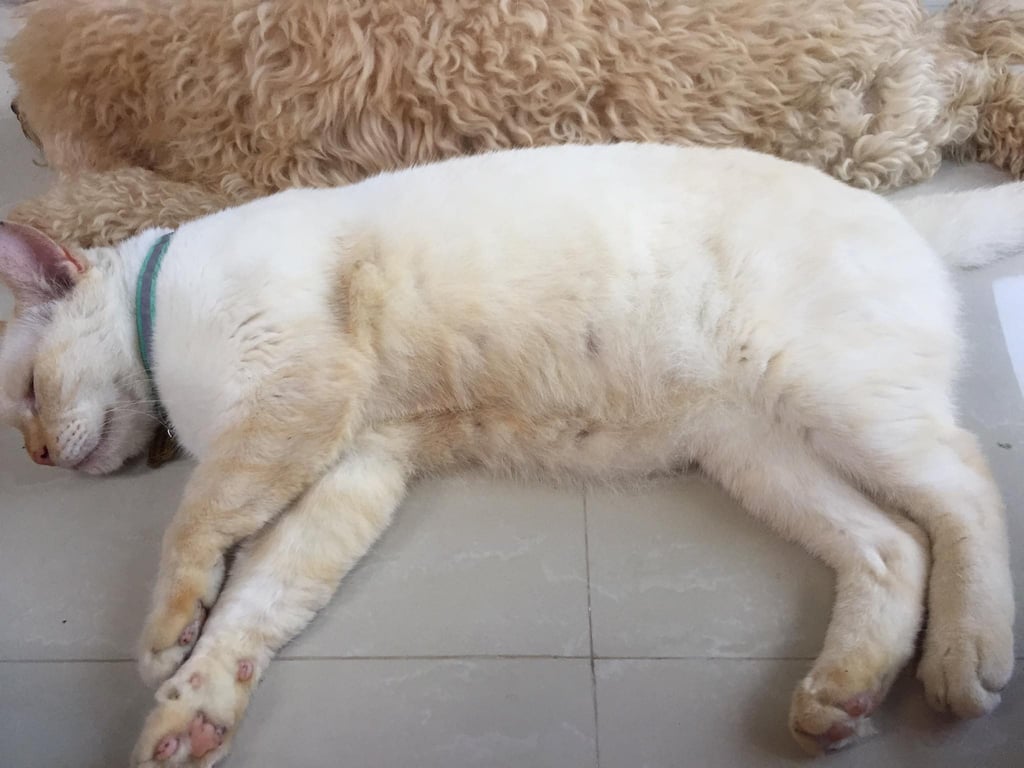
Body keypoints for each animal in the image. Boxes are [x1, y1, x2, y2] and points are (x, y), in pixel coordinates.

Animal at [0, 143, 1017, 766]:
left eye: (24, 398)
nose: (40, 456)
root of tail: (900, 215)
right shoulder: (350, 468)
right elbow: (259, 602)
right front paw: (192, 712)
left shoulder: (293, 404)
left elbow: (197, 527)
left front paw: (164, 637)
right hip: (760, 450)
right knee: (893, 547)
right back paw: (840, 698)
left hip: (831, 399)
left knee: (967, 491)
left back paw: (966, 657)